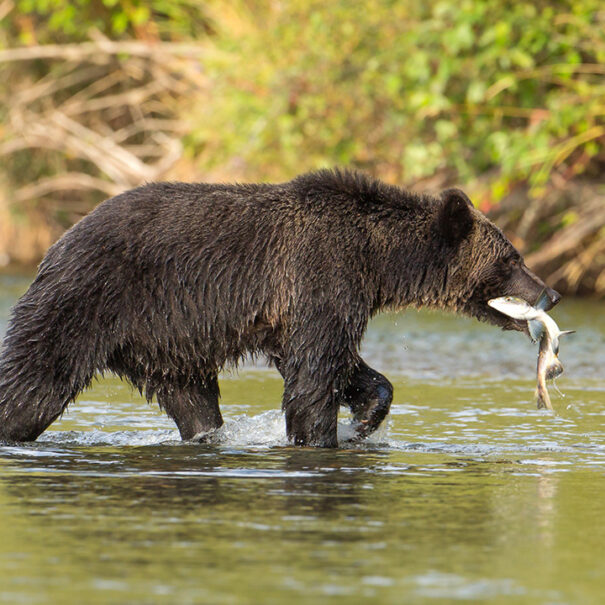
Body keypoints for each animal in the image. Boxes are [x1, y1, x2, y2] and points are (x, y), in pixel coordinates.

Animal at [0, 169, 556, 444]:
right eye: (511, 258)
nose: (549, 292)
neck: (376, 260)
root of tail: (56, 242)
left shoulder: (311, 306)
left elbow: (335, 362)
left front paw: (366, 416)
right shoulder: (320, 273)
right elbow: (314, 373)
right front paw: (322, 435)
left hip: (163, 344)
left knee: (194, 403)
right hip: (86, 300)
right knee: (31, 383)